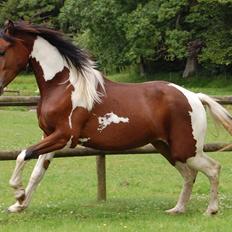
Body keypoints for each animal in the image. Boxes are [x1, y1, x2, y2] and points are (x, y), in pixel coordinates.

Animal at [0, 20, 231, 215]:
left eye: (2, 51)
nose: (0, 87)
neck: (63, 86)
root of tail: (194, 96)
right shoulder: (48, 135)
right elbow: (37, 172)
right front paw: (19, 205)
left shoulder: (63, 137)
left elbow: (23, 154)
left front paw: (18, 193)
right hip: (168, 148)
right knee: (189, 175)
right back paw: (177, 209)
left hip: (187, 150)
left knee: (213, 169)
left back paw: (210, 210)